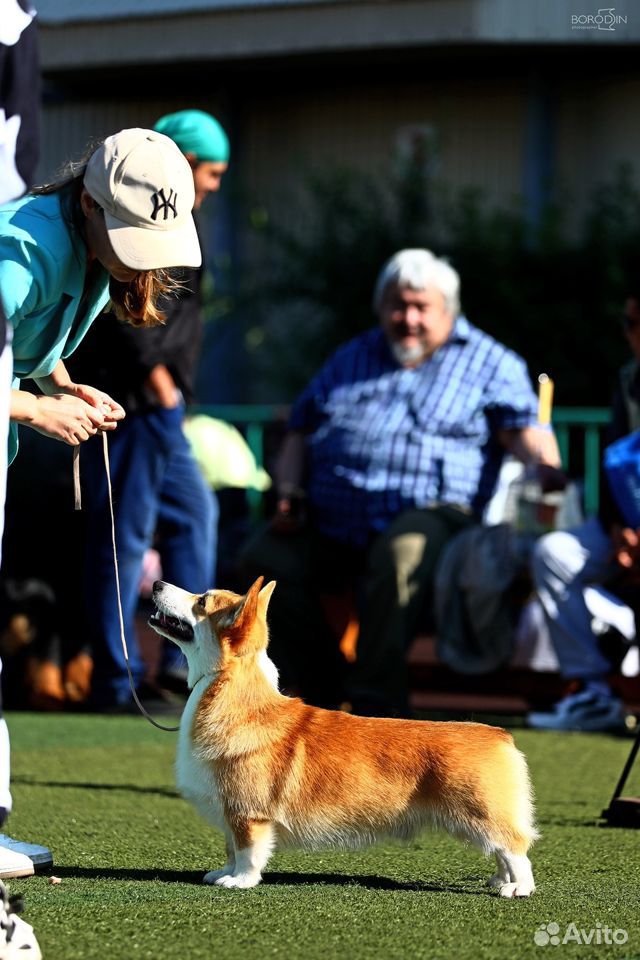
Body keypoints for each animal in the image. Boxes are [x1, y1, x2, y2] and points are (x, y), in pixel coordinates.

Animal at [149, 572, 536, 896]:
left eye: (202, 601)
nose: (155, 584)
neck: (231, 688)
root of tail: (499, 735)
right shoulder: (230, 814)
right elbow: (230, 848)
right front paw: (222, 873)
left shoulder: (248, 814)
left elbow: (247, 852)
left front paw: (239, 881)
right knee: (502, 851)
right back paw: (499, 880)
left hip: (480, 814)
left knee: (516, 848)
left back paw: (518, 888)